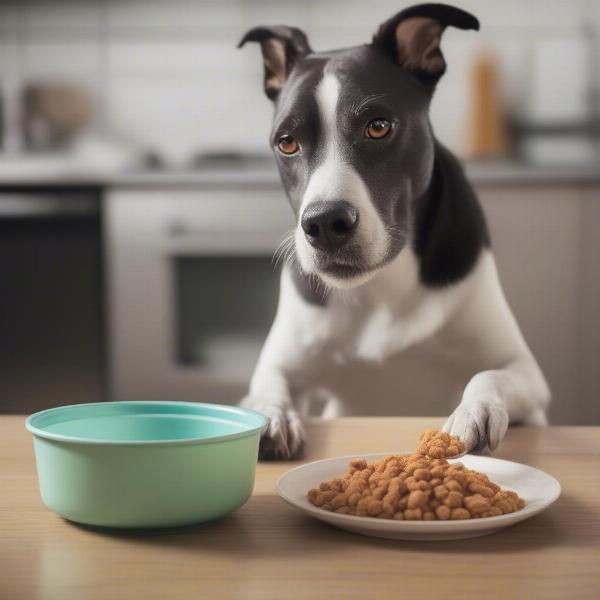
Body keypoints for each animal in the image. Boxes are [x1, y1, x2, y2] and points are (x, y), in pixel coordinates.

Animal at [238, 2, 548, 460]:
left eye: (378, 126)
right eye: (287, 142)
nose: (325, 224)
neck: (383, 284)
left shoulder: (525, 372)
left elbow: (490, 375)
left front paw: (474, 413)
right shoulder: (281, 364)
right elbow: (265, 387)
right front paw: (272, 417)